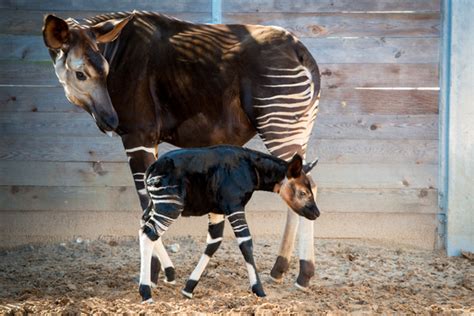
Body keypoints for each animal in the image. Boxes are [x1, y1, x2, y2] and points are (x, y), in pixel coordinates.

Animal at [138, 145, 318, 302]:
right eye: (303, 193)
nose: (317, 213)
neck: (252, 169)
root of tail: (152, 167)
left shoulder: (217, 209)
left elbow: (213, 243)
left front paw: (189, 288)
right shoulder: (234, 205)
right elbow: (246, 244)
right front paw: (259, 290)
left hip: (158, 204)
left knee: (143, 228)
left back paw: (166, 275)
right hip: (170, 205)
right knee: (149, 234)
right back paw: (146, 293)